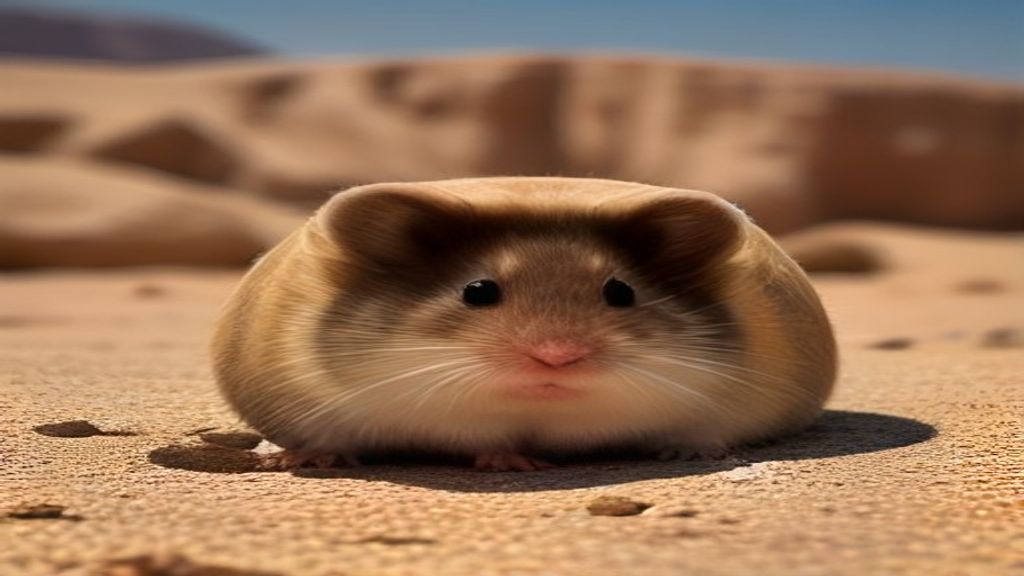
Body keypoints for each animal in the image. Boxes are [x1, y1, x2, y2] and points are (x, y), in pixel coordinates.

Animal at [211, 177, 836, 471]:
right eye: (478, 291)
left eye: (621, 291)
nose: (557, 356)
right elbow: (488, 441)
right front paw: (514, 460)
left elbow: (698, 434)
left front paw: (693, 455)